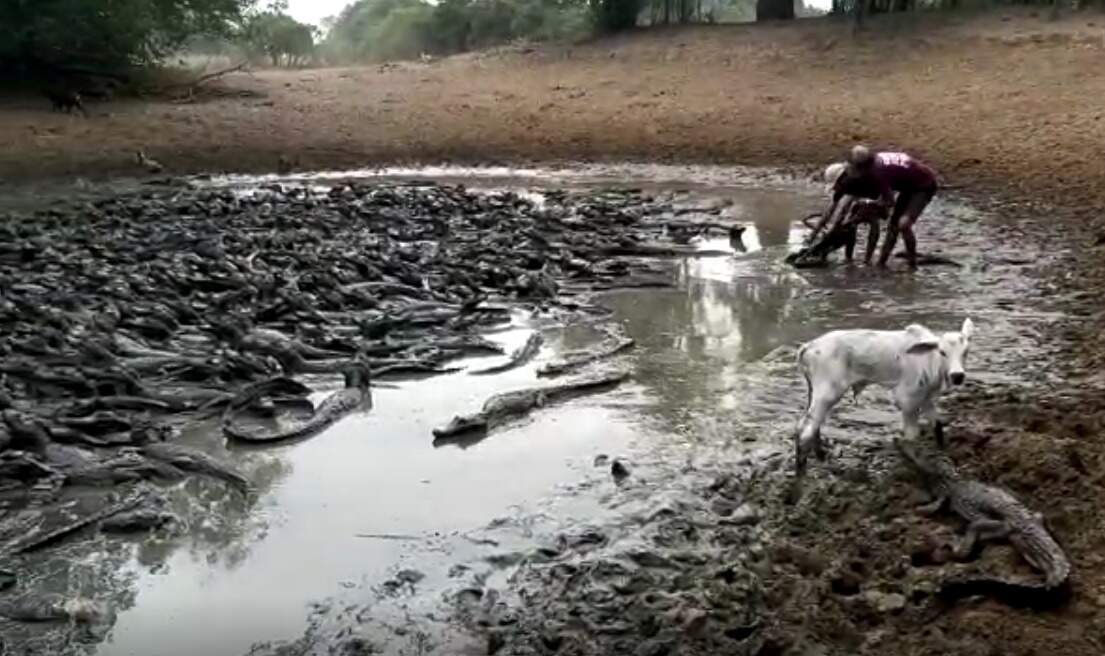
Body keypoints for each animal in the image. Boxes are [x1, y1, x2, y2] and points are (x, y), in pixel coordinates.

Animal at [795, 315, 976, 470]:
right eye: (942, 352)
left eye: (966, 352)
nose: (957, 376)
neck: (929, 361)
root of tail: (809, 346)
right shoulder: (907, 398)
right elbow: (912, 436)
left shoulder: (925, 397)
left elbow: (937, 425)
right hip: (828, 392)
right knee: (805, 430)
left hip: (815, 391)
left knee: (812, 426)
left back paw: (821, 456)